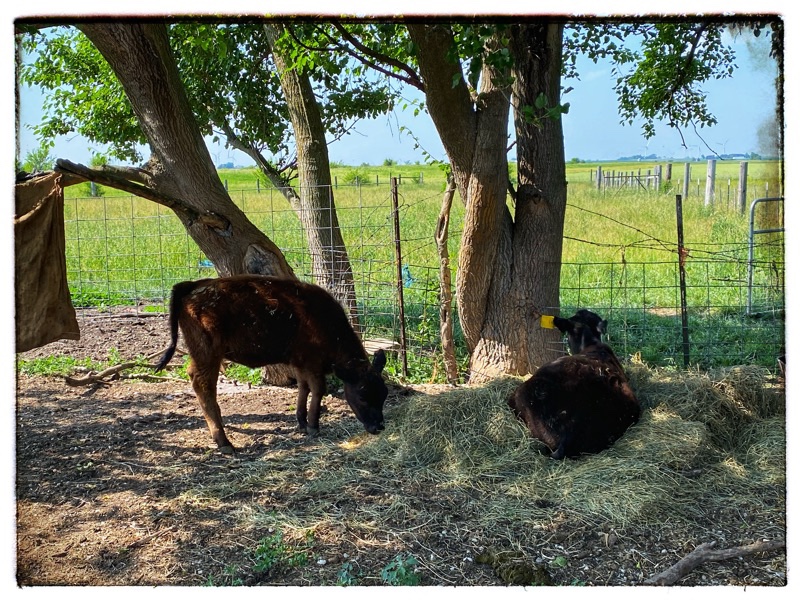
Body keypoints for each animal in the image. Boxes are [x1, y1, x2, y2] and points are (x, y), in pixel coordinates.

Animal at [154, 275, 388, 454]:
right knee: (203, 384)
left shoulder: (299, 362)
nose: (379, 426)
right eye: (362, 395)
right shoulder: (312, 363)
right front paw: (313, 426)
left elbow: (303, 387)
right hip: (208, 353)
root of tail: (192, 285)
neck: (325, 321)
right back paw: (224, 442)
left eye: (384, 394)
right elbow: (317, 389)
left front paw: (302, 422)